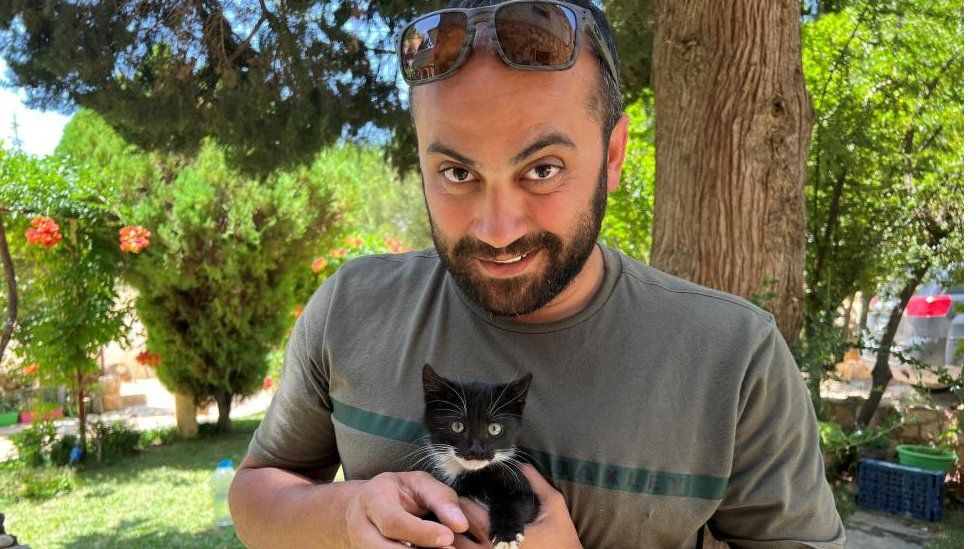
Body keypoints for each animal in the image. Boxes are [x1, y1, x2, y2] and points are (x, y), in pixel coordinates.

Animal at [420, 364, 540, 548]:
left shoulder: (523, 488)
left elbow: (516, 503)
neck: (472, 475)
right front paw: (426, 522)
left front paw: (506, 535)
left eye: (495, 428)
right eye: (457, 426)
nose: (476, 449)